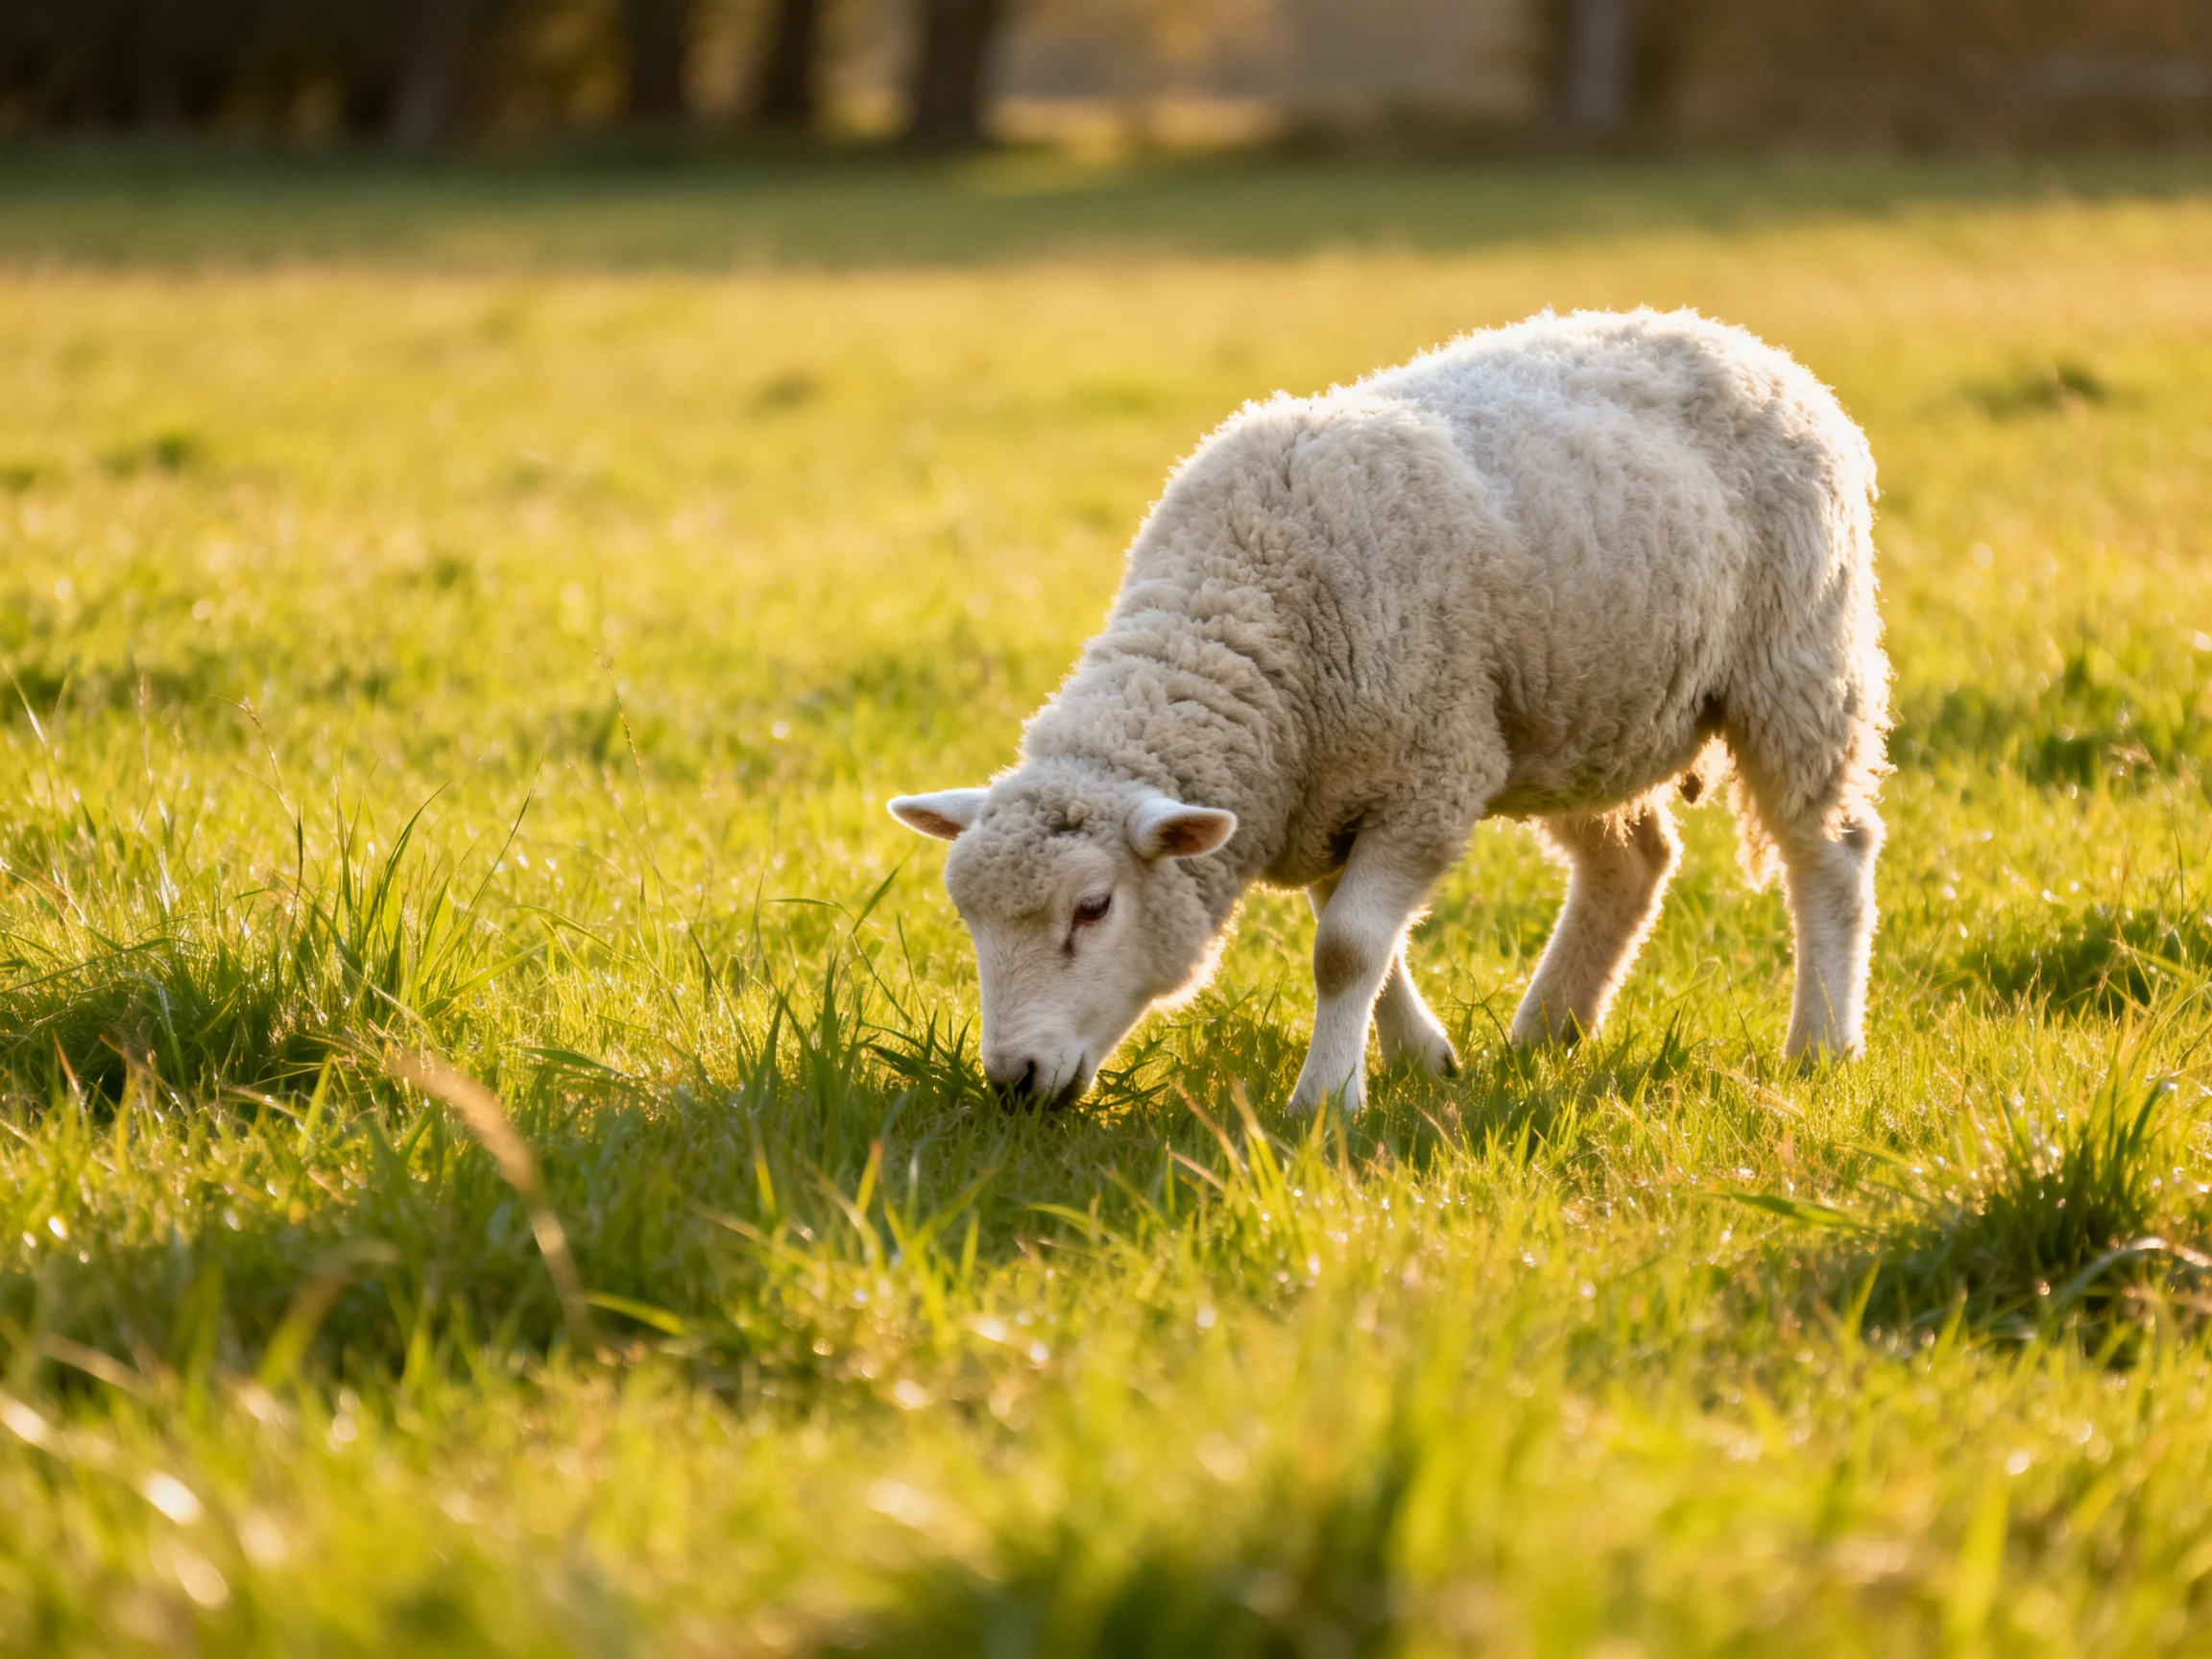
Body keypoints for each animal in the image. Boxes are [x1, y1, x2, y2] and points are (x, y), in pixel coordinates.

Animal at [892, 307, 1889, 1112]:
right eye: (969, 920)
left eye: (1093, 908)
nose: (1013, 1081)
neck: (1243, 602)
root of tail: (1738, 339)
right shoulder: (1323, 792)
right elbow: (1360, 940)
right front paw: (1421, 1058)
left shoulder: (1429, 774)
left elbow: (1344, 947)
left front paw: (1326, 1101)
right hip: (1581, 710)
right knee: (1631, 865)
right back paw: (1548, 1030)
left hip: (1800, 659)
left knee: (1830, 851)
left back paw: (1822, 1047)